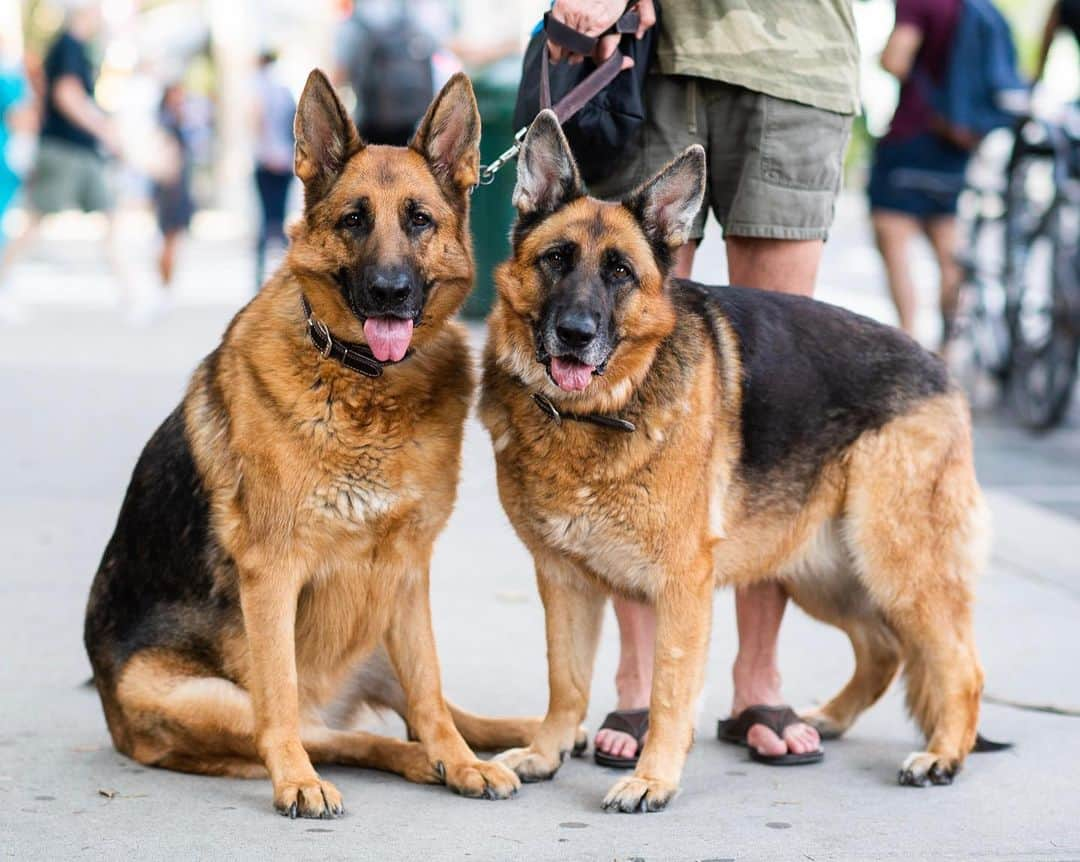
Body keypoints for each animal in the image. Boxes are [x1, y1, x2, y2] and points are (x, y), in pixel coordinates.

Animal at [81, 70, 531, 820]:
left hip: (378, 627)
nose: (389, 292)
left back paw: (500, 742)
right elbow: (283, 703)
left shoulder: (408, 570)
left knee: (426, 708)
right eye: (353, 219)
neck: (363, 381)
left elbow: (432, 688)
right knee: (329, 732)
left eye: (419, 220)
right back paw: (372, 766)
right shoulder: (274, 573)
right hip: (204, 697)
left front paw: (464, 762)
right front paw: (295, 780)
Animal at [481, 111, 993, 812]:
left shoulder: (681, 587)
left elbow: (670, 692)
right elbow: (567, 680)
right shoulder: (563, 583)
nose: (575, 334)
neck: (594, 415)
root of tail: (942, 367)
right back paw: (825, 720)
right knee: (884, 649)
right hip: (823, 571)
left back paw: (943, 755)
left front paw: (653, 779)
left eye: (620, 273)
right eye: (555, 259)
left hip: (895, 562)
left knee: (961, 665)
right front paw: (546, 752)